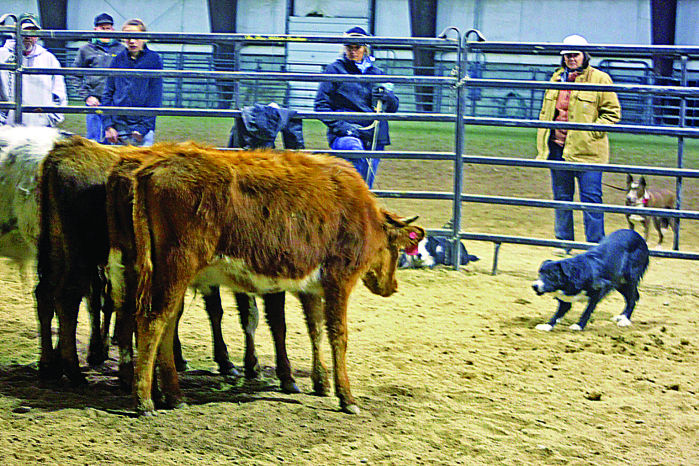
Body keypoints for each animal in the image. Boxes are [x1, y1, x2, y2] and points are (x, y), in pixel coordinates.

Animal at [130, 145, 425, 415]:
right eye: (397, 249)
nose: (392, 286)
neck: (361, 213)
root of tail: (155, 166)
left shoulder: (311, 288)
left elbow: (315, 330)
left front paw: (321, 381)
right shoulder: (339, 281)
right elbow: (338, 336)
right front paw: (346, 397)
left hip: (170, 274)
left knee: (168, 324)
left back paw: (173, 395)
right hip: (178, 266)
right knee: (154, 320)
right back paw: (144, 400)